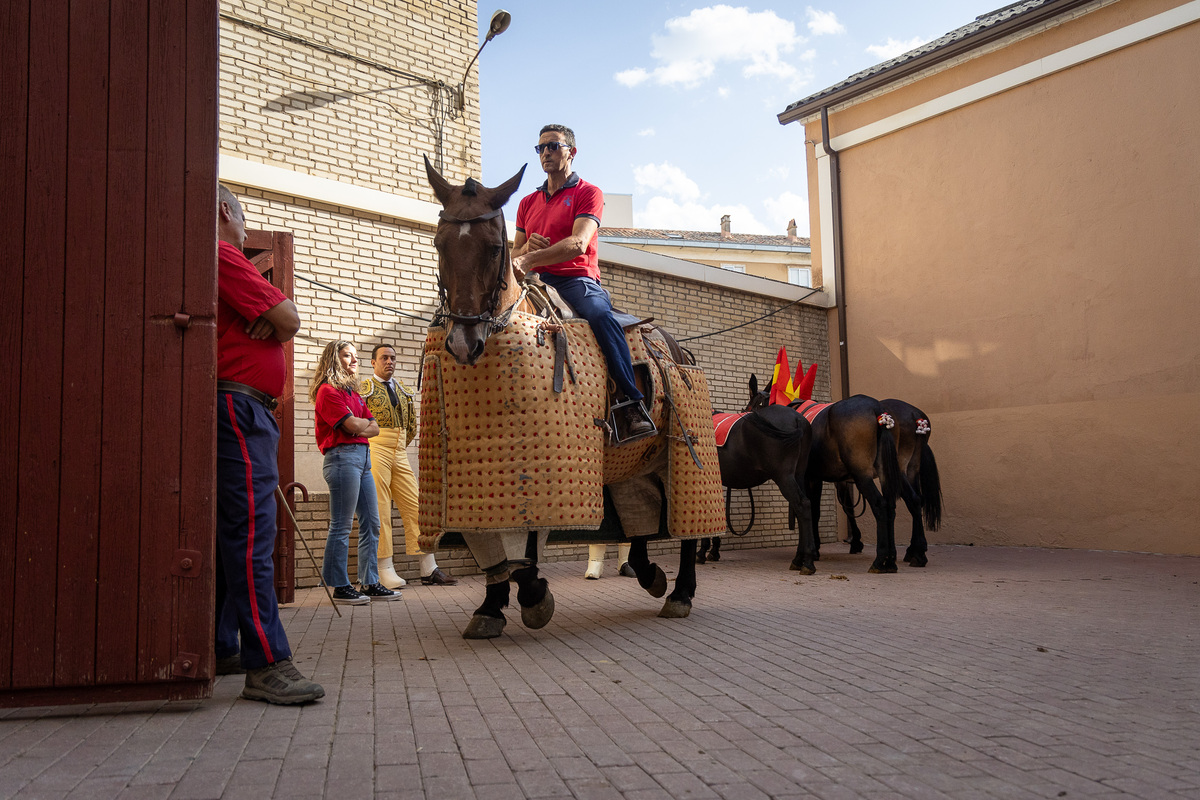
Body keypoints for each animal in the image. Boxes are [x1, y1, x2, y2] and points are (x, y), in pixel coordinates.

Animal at [422, 158, 710, 638]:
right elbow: (493, 542)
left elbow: (526, 544)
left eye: (495, 248)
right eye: (439, 243)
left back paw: (681, 592)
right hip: (629, 467)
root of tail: (675, 347)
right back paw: (650, 573)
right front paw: (492, 607)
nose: (464, 343)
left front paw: (534, 596)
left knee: (683, 520)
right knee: (639, 516)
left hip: (671, 457)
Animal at [705, 402, 820, 573]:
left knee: (802, 505)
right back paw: (799, 559)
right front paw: (713, 551)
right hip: (798, 474)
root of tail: (797, 419)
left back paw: (808, 562)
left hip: (783, 476)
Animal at [748, 376, 902, 573]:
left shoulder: (808, 478)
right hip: (885, 475)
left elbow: (809, 509)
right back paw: (890, 561)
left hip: (862, 475)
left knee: (880, 506)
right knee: (890, 507)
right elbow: (815, 510)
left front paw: (811, 552)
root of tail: (878, 411)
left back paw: (879, 560)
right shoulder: (816, 478)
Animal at [835, 398, 936, 566]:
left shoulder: (844, 480)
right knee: (917, 500)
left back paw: (914, 552)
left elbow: (847, 505)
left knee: (912, 500)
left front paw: (856, 541)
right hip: (912, 469)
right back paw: (915, 550)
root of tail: (915, 414)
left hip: (898, 469)